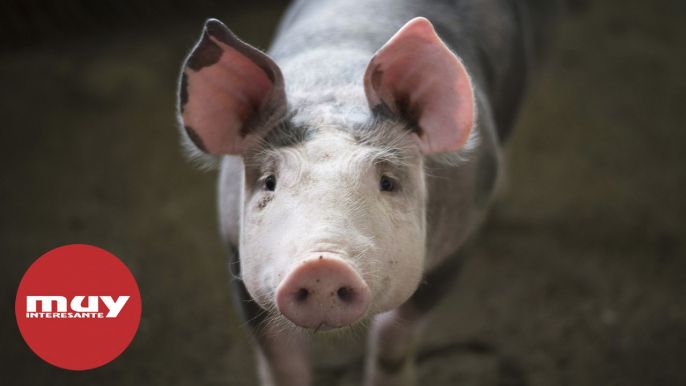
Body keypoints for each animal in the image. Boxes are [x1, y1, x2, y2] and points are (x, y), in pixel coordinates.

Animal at [180, 0, 560, 384]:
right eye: (269, 182)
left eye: (387, 182)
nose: (322, 264)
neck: (334, 83)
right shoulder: (235, 251)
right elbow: (280, 359)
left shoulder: (456, 243)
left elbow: (393, 342)